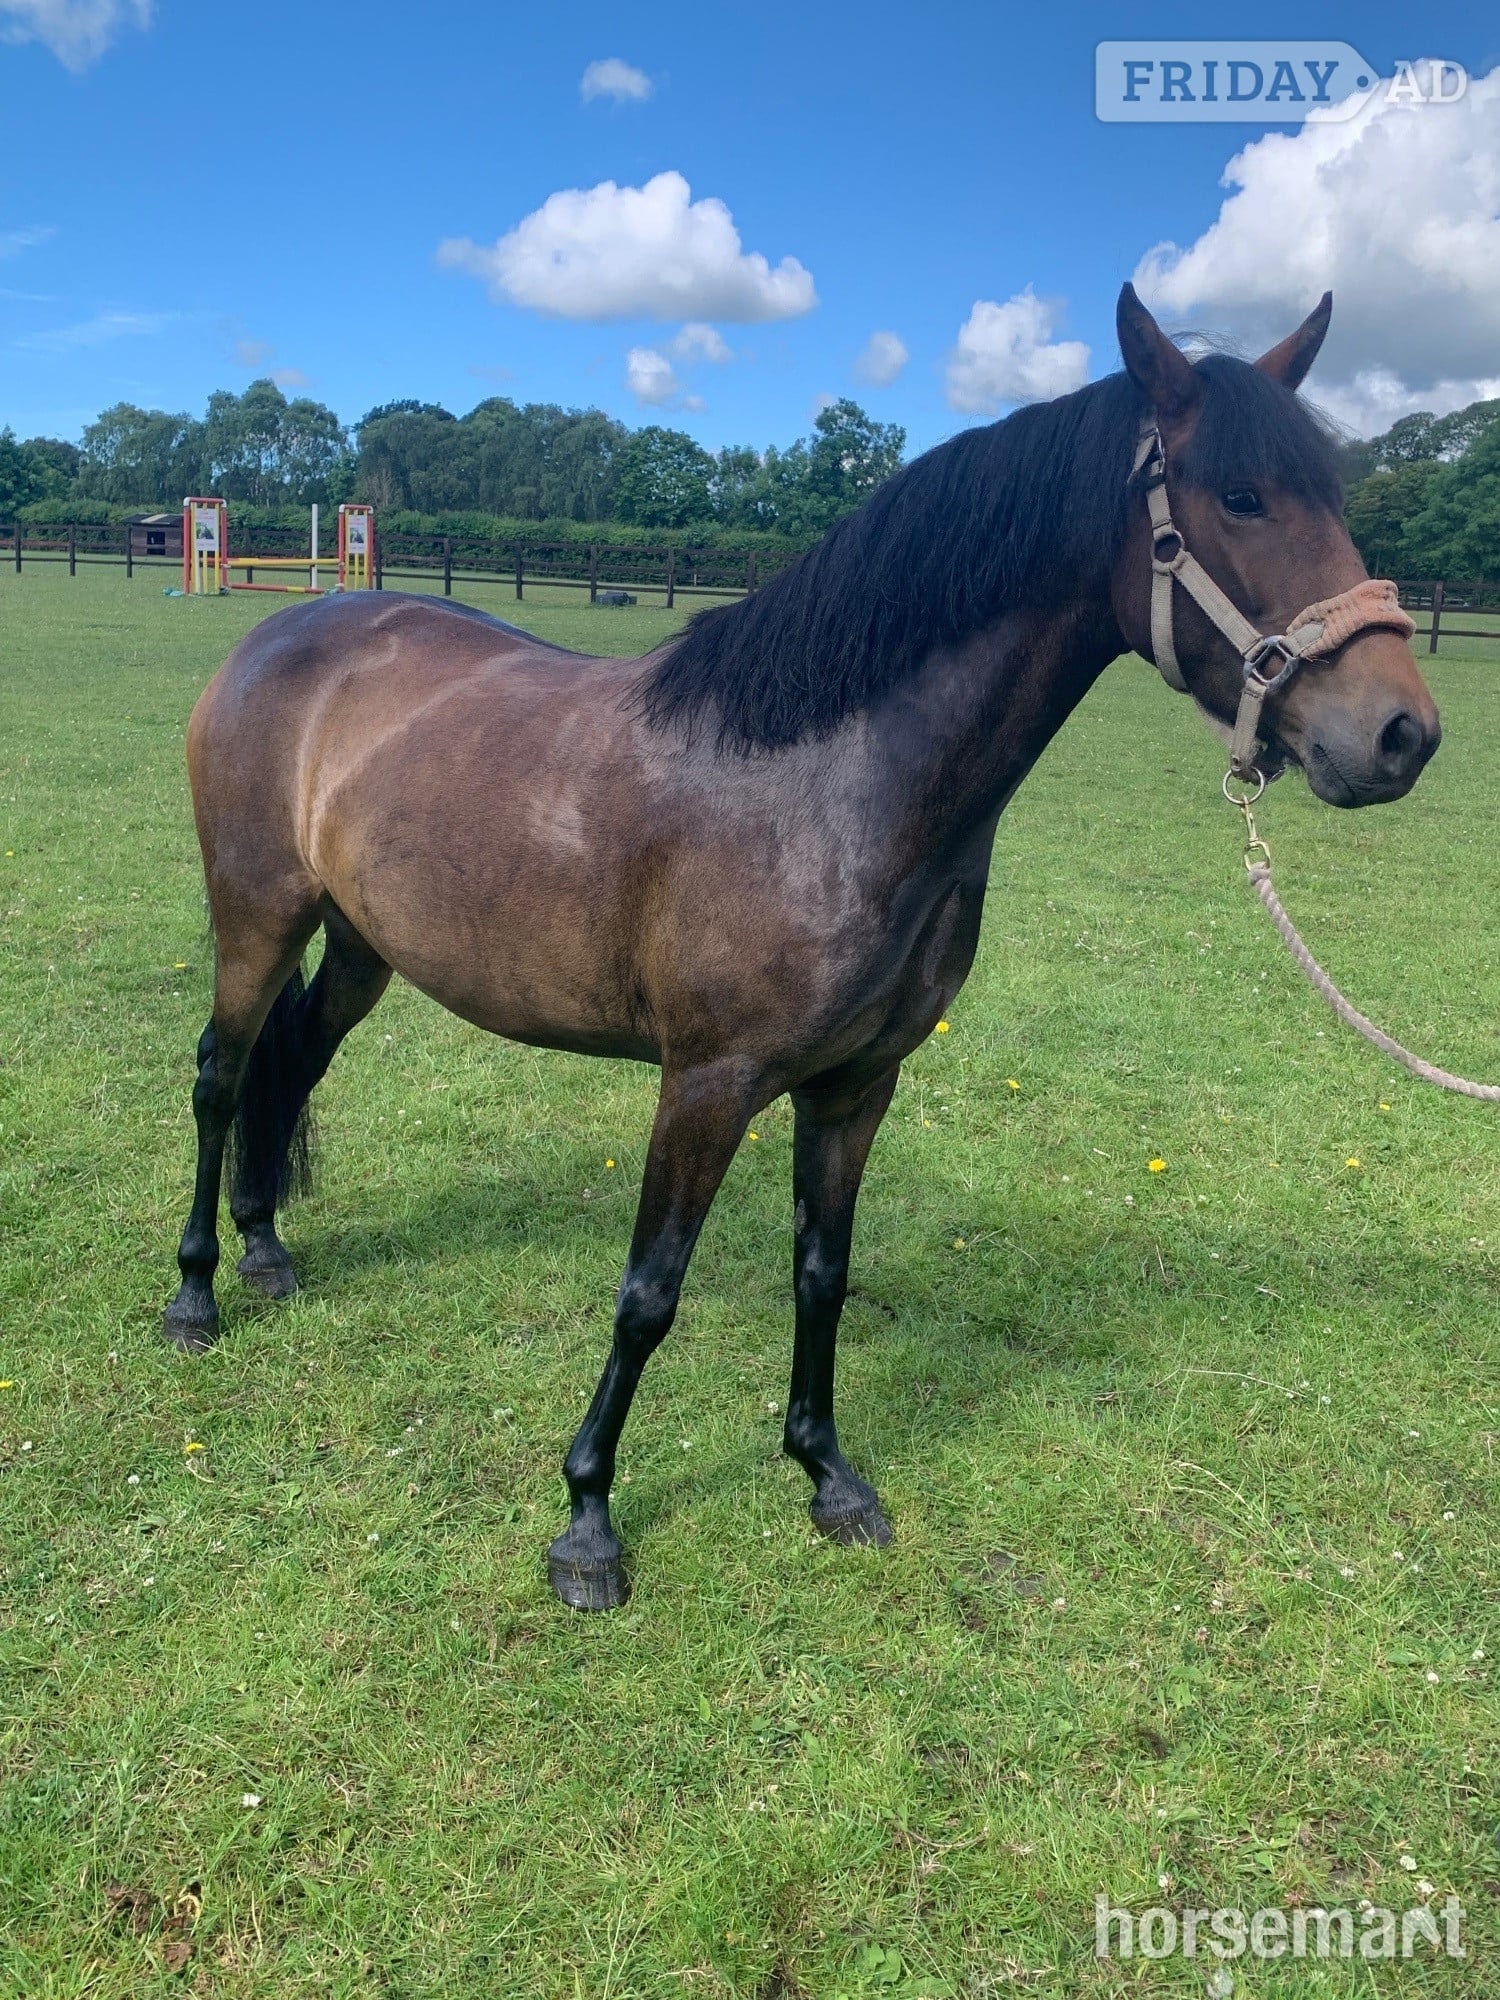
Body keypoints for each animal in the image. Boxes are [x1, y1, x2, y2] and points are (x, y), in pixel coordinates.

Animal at [164, 286, 1440, 1610]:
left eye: (1332, 495)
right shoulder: (708, 1082)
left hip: (363, 943)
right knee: (220, 1073)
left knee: (292, 1064)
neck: (832, 780)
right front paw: (587, 1521)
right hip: (256, 918)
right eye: (1240, 495)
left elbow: (821, 1271)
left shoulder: (856, 1083)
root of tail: (285, 633)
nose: (1401, 733)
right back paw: (197, 1291)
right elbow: (648, 1293)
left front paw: (826, 1473)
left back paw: (265, 1248)